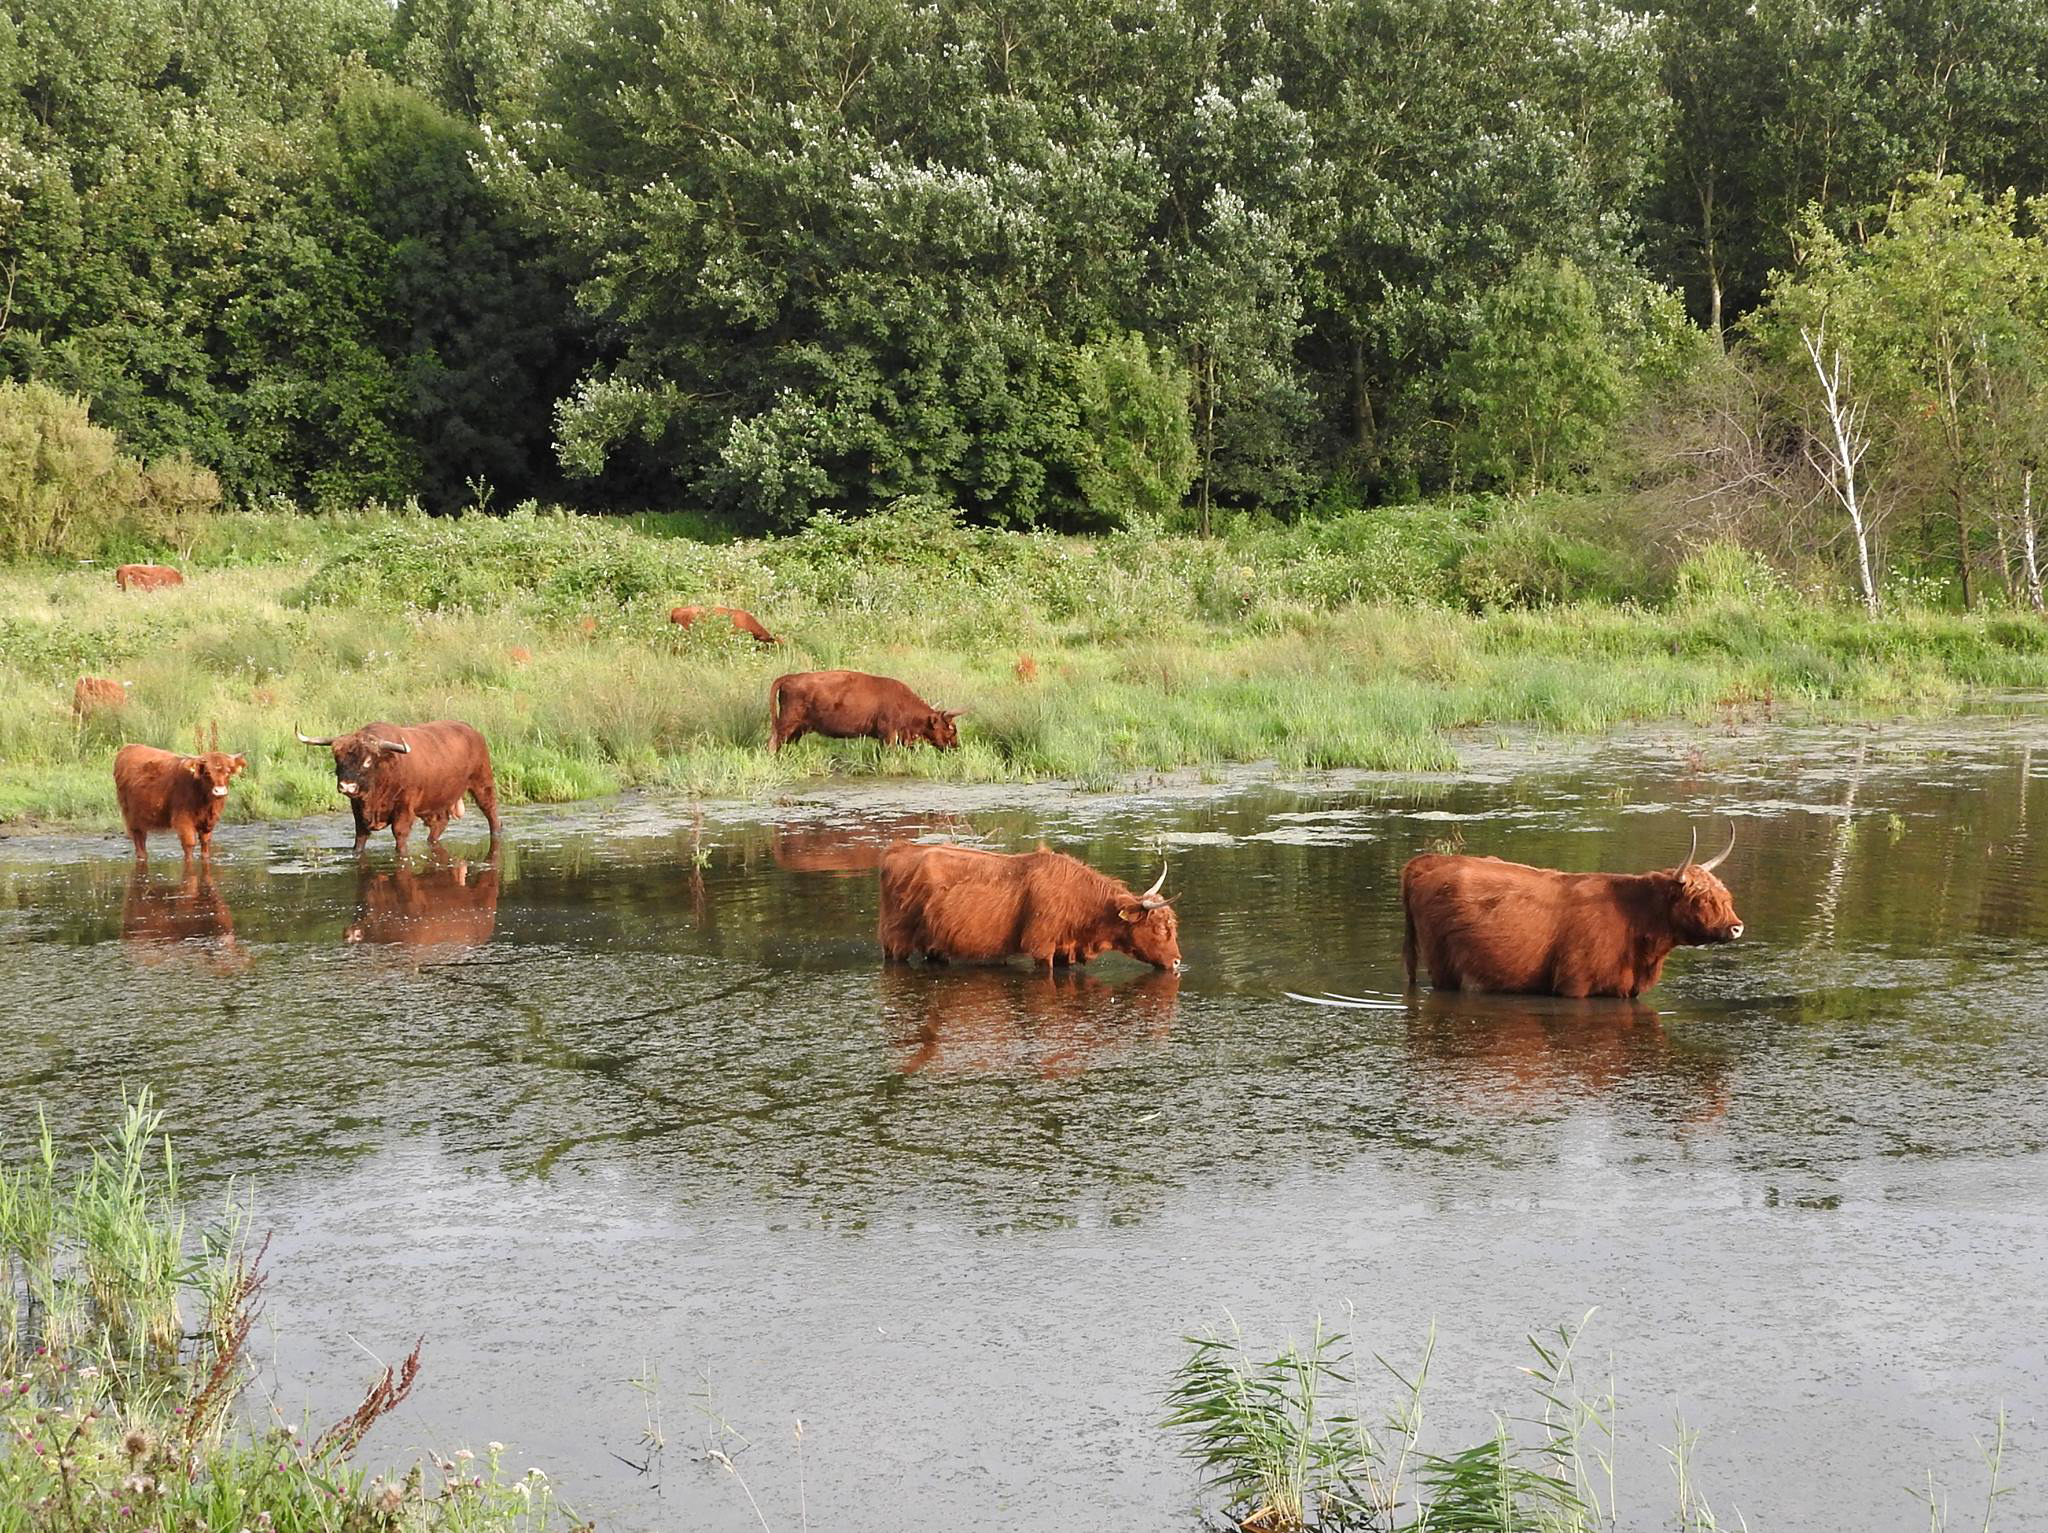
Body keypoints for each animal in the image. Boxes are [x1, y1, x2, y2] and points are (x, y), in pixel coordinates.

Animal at [299, 720, 501, 855]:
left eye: (368, 761)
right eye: (337, 758)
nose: (347, 786)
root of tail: (471, 730)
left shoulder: (404, 807)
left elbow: (400, 834)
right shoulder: (357, 808)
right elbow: (360, 836)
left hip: (482, 783)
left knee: (491, 812)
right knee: (440, 822)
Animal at [770, 671, 962, 753]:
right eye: (950, 729)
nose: (956, 746)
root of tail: (790, 677)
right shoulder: (888, 735)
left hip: (798, 729)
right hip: (787, 724)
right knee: (773, 742)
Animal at [872, 839, 1179, 970]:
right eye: (1159, 929)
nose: (1177, 961)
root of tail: (899, 848)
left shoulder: (1064, 950)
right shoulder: (1041, 947)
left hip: (935, 943)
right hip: (895, 943)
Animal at [1400, 818, 1753, 998]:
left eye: (1727, 897)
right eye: (1701, 899)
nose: (1736, 926)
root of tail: (1426, 862)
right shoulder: (1574, 985)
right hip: (1444, 969)